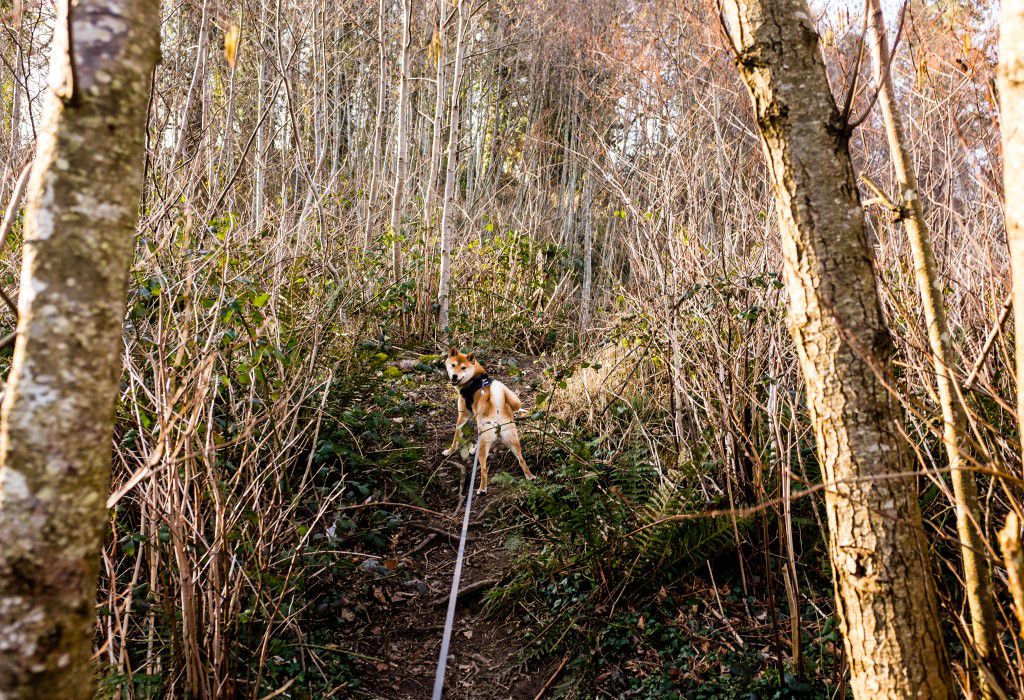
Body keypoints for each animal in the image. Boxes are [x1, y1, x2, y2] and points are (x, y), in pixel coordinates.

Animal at [442, 347, 536, 491]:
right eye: (453, 365)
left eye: (463, 368)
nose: (454, 376)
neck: (473, 378)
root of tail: (498, 407)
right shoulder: (477, 423)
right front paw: (473, 449)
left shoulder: (463, 416)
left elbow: (456, 437)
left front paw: (449, 451)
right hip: (511, 441)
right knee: (522, 460)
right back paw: (530, 477)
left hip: (487, 445)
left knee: (484, 469)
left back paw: (482, 488)